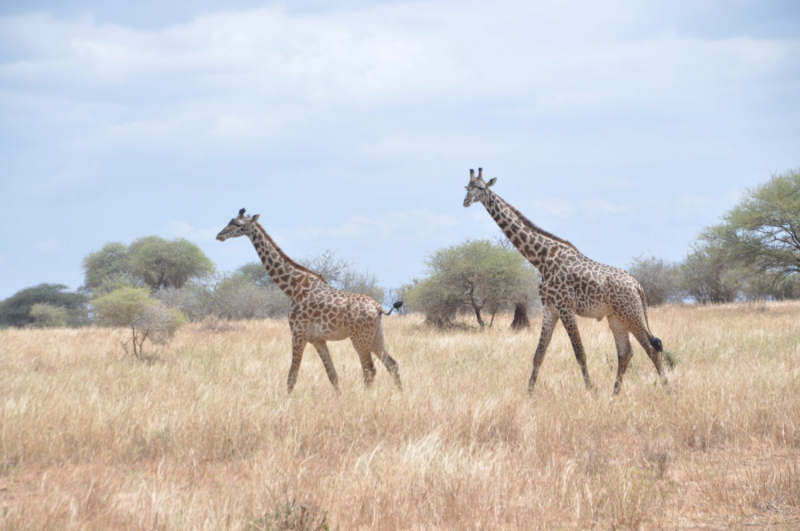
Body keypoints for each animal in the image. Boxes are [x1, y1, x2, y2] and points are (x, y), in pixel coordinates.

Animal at [216, 210, 404, 392]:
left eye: (238, 224)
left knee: (369, 369)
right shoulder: (317, 339)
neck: (292, 288)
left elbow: (292, 376)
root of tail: (378, 308)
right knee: (392, 364)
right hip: (376, 336)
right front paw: (338, 400)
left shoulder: (298, 333)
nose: (219, 235)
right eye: (230, 220)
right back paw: (400, 394)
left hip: (360, 338)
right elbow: (332, 375)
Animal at [462, 170, 668, 394]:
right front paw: (529, 393)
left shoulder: (565, 307)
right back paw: (614, 395)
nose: (466, 201)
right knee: (626, 352)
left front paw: (591, 392)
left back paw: (669, 391)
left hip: (631, 313)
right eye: (467, 187)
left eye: (481, 188)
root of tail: (638, 286)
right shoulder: (550, 308)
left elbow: (580, 353)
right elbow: (539, 354)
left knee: (651, 347)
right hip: (616, 316)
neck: (541, 260)